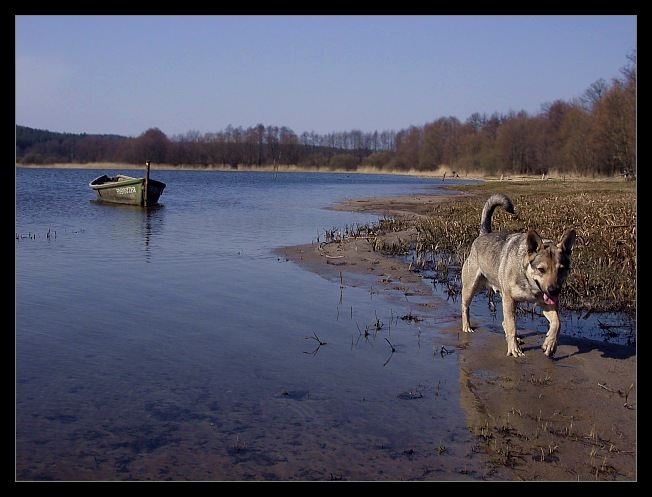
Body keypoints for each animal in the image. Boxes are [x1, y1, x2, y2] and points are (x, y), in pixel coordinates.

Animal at [458, 194, 576, 356]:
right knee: (465, 307)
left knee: (505, 322)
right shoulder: (509, 300)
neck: (528, 280)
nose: (554, 291)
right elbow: (512, 326)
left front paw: (550, 344)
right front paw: (514, 349)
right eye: (541, 269)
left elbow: (557, 323)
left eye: (561, 269)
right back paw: (467, 326)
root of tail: (484, 234)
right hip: (471, 288)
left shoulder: (545, 303)